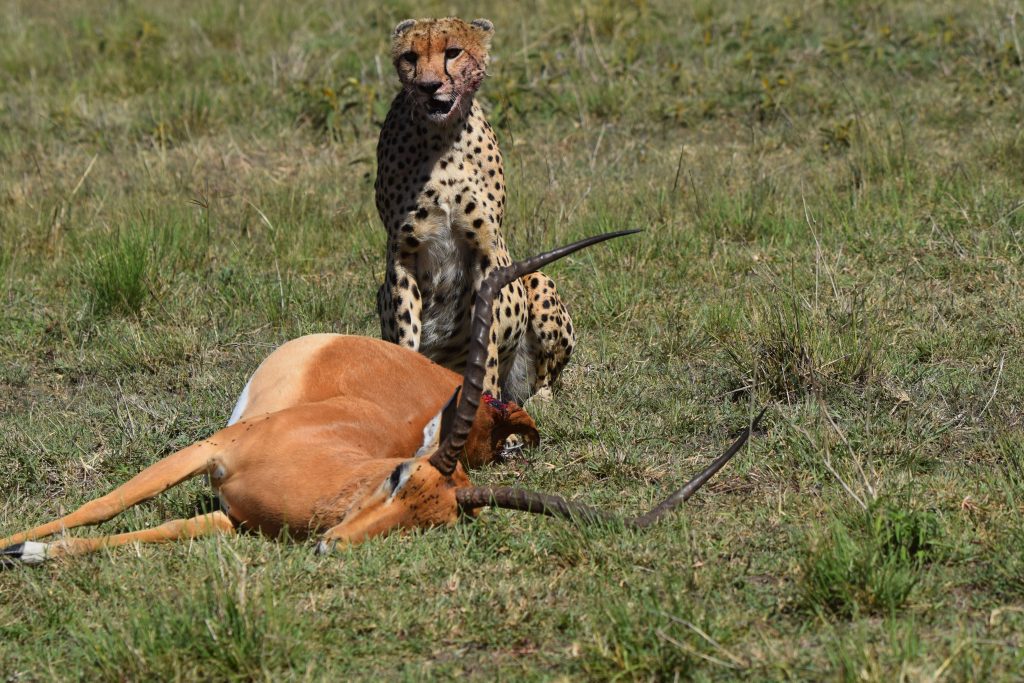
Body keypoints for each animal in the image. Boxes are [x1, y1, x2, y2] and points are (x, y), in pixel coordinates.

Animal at [1, 230, 763, 566]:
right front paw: (15, 544)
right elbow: (99, 505)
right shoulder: (211, 450)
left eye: (431, 522)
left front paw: (29, 554)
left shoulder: (230, 520)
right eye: (400, 476)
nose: (331, 546)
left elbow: (136, 534)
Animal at [375, 16, 578, 405]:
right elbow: (407, 331)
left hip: (538, 281)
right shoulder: (402, 255)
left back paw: (540, 399)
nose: (428, 86)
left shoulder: (485, 252)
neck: (440, 138)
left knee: (545, 375)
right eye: (410, 56)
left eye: (453, 52)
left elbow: (486, 341)